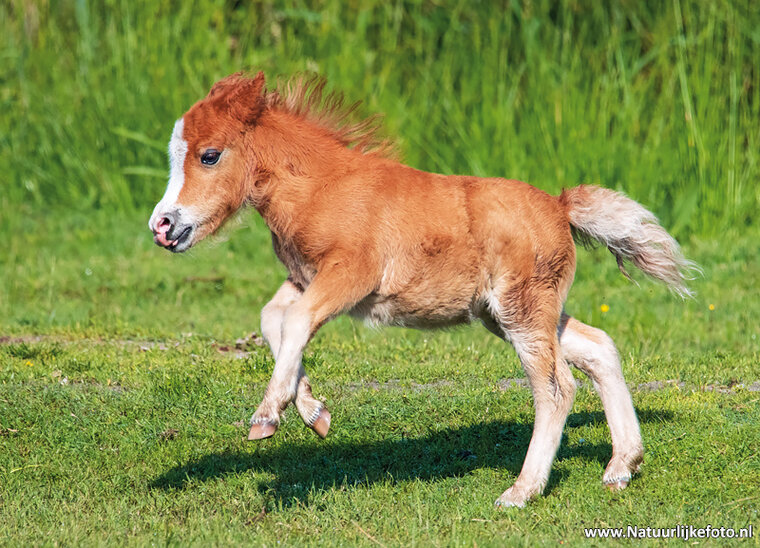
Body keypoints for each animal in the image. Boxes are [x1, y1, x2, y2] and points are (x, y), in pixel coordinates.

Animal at [148, 71, 695, 507]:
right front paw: (312, 412)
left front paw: (268, 416)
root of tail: (560, 207)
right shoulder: (305, 278)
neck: (323, 189)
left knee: (557, 386)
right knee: (599, 347)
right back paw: (622, 466)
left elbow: (297, 321)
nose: (163, 226)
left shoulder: (352, 276)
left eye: (210, 155)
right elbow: (273, 320)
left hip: (521, 309)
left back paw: (521, 492)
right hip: (510, 312)